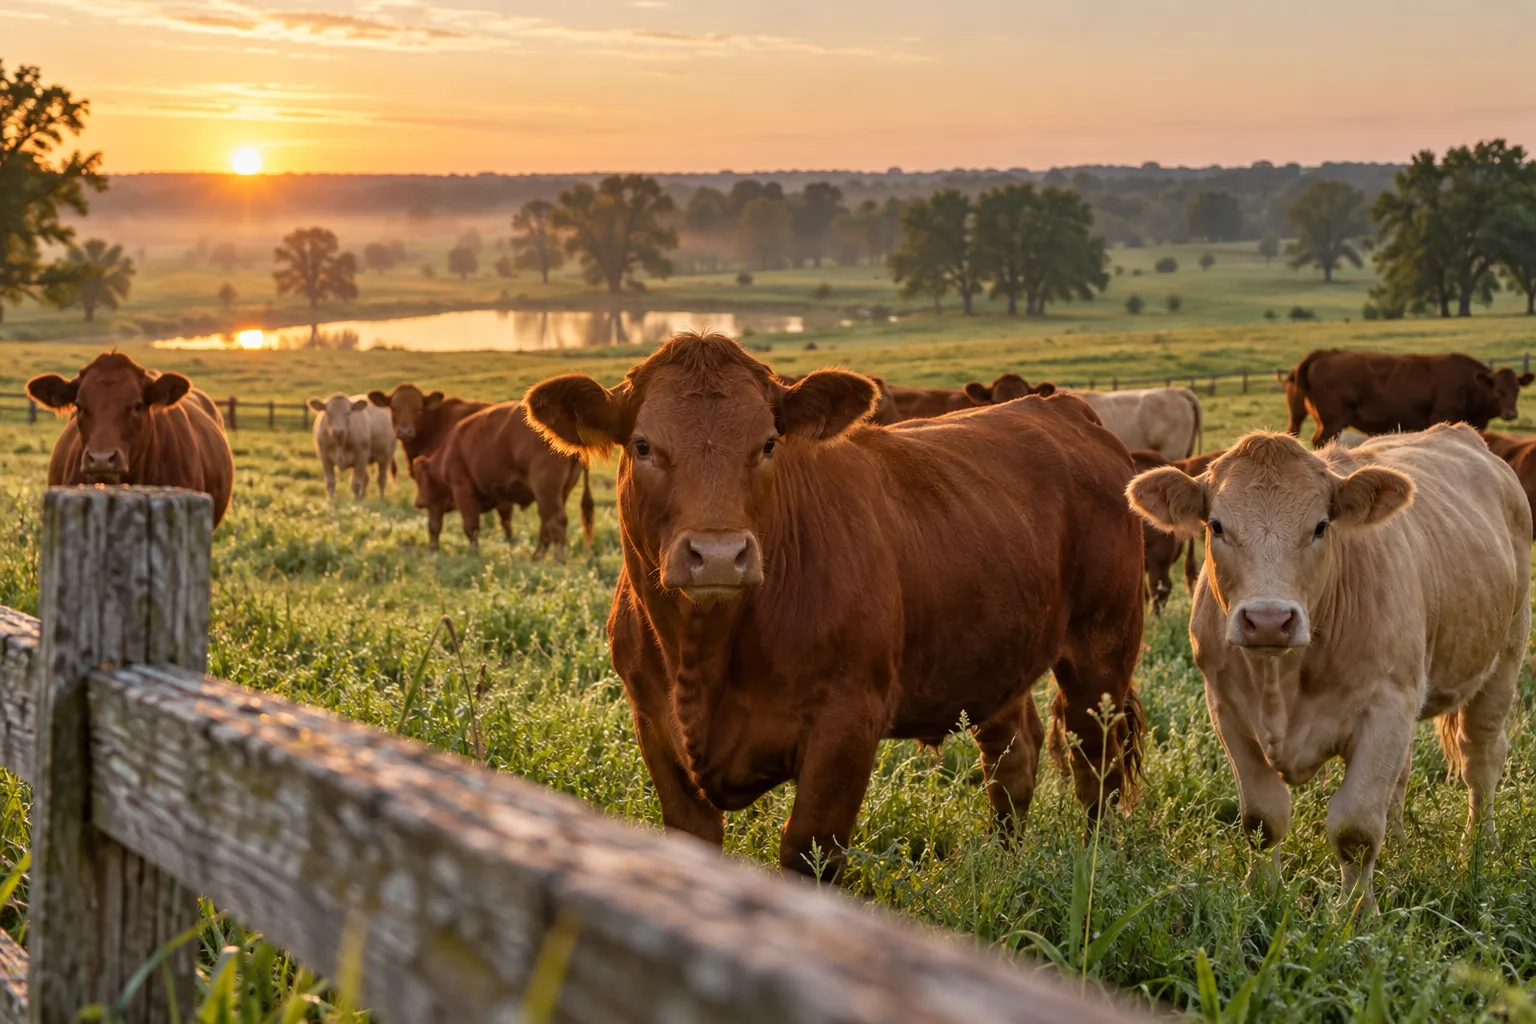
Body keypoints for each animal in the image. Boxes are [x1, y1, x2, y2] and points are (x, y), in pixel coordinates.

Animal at [410, 401, 592, 556]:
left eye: (420, 479)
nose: (418, 502)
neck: (447, 454)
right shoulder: (501, 496)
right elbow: (505, 522)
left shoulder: (462, 490)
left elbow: (469, 526)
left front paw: (473, 553)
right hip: (561, 492)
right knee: (546, 522)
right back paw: (536, 557)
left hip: (546, 489)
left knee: (556, 521)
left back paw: (557, 560)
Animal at [523, 332, 1146, 880]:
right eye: (643, 445)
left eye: (768, 443)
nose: (719, 555)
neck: (703, 656)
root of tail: (1062, 407)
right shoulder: (653, 722)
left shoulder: (847, 724)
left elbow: (809, 853)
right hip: (996, 655)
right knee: (1013, 756)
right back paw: (1002, 863)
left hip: (1102, 652)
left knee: (1097, 763)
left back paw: (1096, 863)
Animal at [1127, 426, 1530, 912]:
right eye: (1216, 525)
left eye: (1321, 526)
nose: (1268, 619)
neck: (1281, 682)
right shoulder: (1225, 708)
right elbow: (1262, 817)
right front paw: (1262, 894)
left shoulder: (1385, 708)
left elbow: (1356, 827)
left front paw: (1358, 912)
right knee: (1401, 776)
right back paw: (1399, 846)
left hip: (1504, 658)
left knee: (1481, 759)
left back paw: (1479, 847)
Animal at [1281, 349, 1534, 447]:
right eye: (1498, 391)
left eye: (1517, 390)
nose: (1511, 413)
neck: (1467, 382)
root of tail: (1324, 353)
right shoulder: (1442, 417)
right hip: (1332, 422)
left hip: (1300, 416)